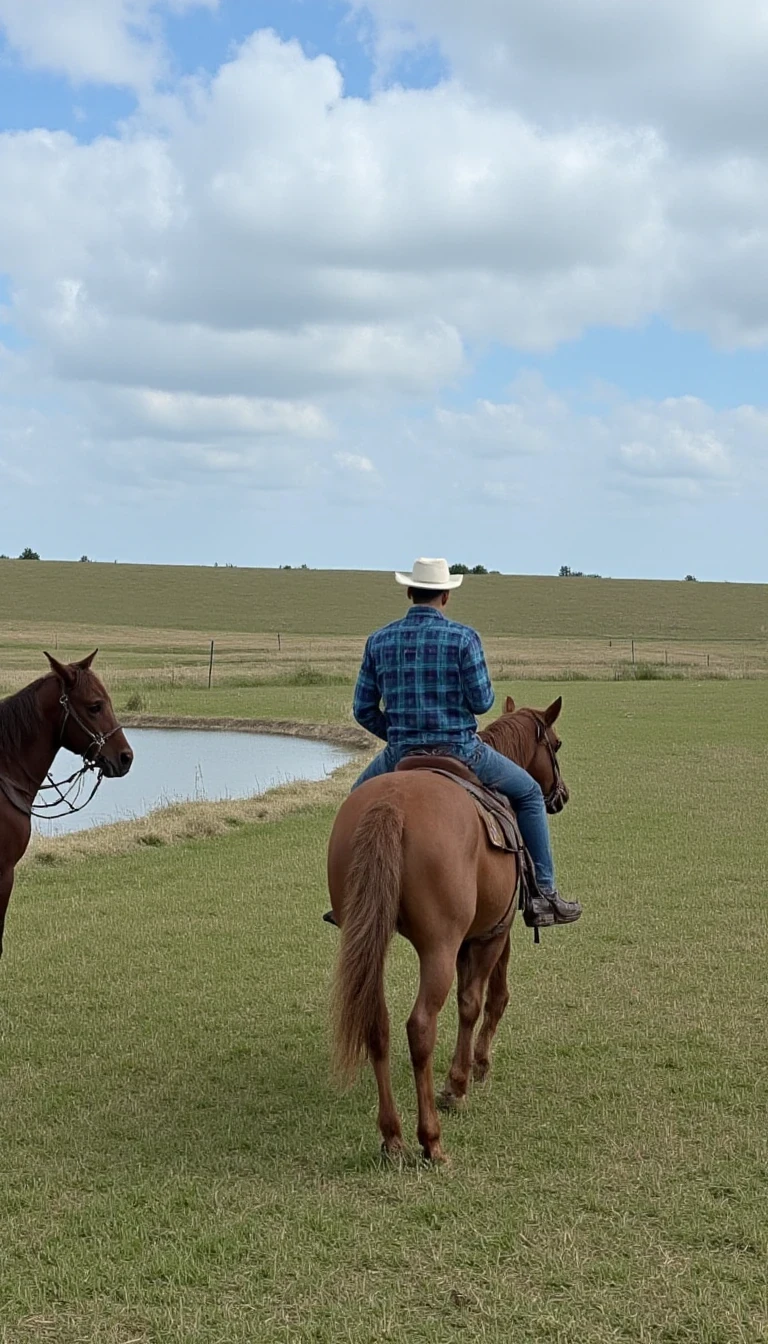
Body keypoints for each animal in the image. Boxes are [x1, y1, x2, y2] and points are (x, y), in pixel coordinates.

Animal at [328, 698, 567, 1161]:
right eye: (557, 744)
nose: (561, 796)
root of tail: (393, 804)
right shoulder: (493, 931)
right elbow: (483, 1000)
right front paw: (466, 1077)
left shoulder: (469, 939)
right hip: (437, 947)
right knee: (420, 1026)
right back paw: (430, 1139)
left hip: (367, 938)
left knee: (377, 1023)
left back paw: (392, 1136)